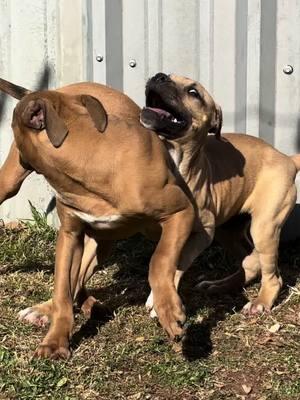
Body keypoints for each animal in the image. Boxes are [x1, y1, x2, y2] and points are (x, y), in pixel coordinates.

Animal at [141, 72, 300, 316]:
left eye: (194, 92)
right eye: (166, 75)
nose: (159, 76)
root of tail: (287, 158)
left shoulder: (202, 233)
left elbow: (178, 263)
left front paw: (160, 302)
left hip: (264, 226)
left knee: (272, 276)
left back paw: (261, 301)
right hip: (229, 231)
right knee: (249, 263)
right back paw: (219, 285)